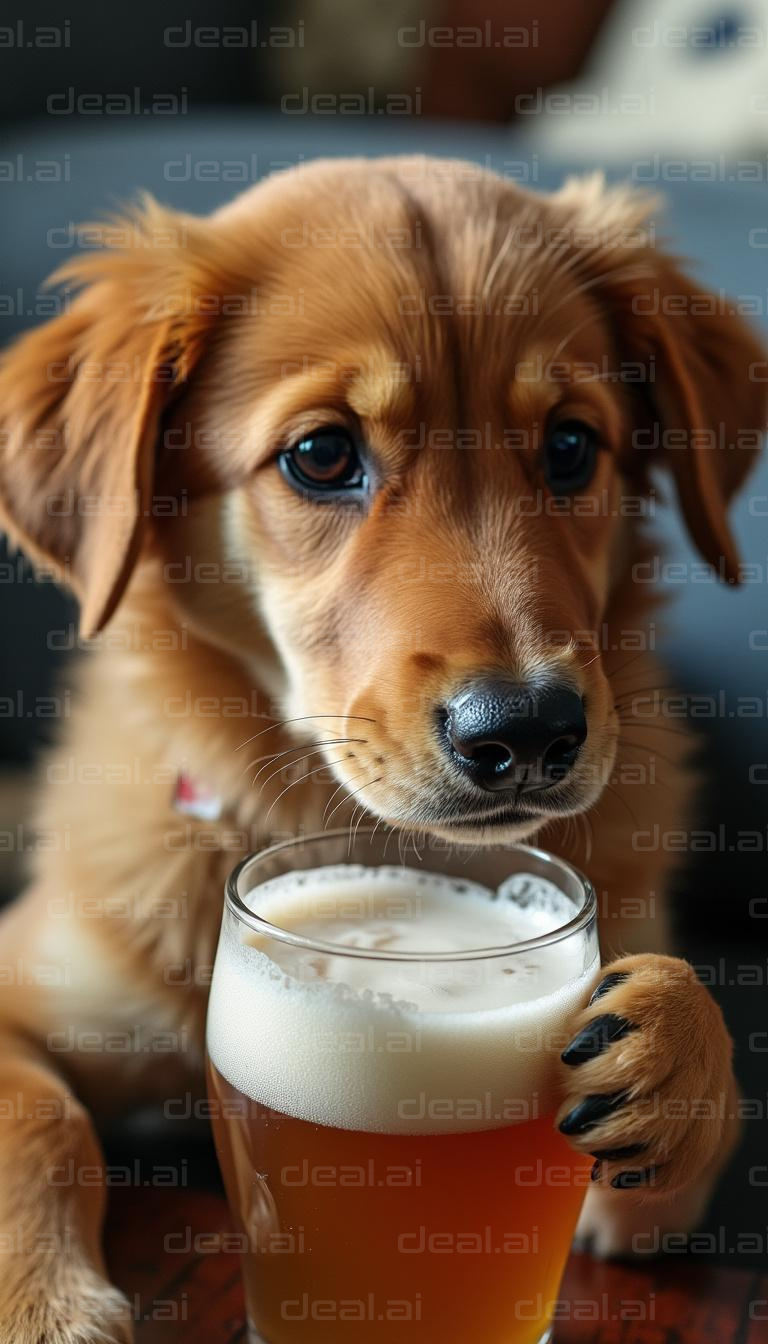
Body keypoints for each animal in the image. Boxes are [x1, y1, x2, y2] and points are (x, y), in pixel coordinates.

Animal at [0, 159, 763, 1344]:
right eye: (321, 455)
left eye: (572, 447)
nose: (528, 729)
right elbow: (39, 1121)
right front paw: (49, 1303)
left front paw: (678, 1048)